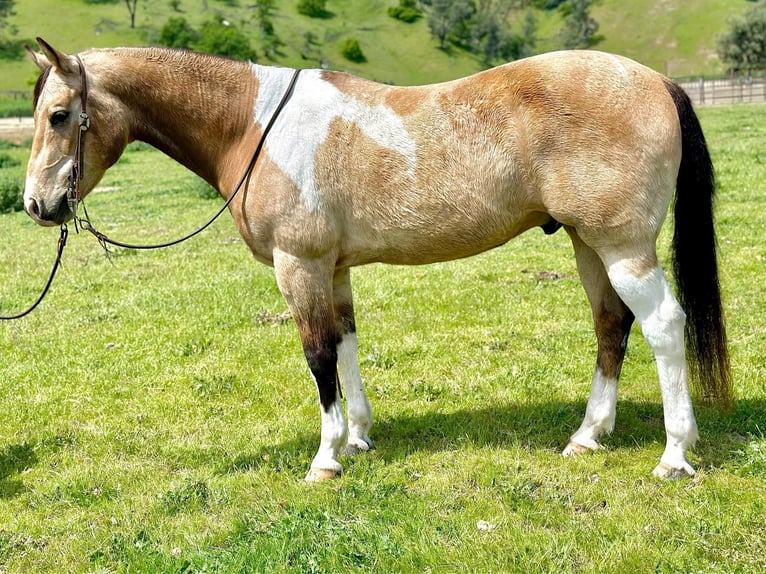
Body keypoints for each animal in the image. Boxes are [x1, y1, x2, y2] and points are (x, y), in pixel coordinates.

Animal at [24, 37, 732, 482]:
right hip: (589, 245)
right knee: (611, 326)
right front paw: (358, 436)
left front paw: (325, 458)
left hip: (622, 247)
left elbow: (317, 355)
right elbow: (345, 344)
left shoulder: (300, 265)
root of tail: (656, 80)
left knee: (663, 326)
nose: (36, 204)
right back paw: (588, 435)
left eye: (59, 115)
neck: (253, 126)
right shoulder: (332, 268)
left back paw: (674, 454)